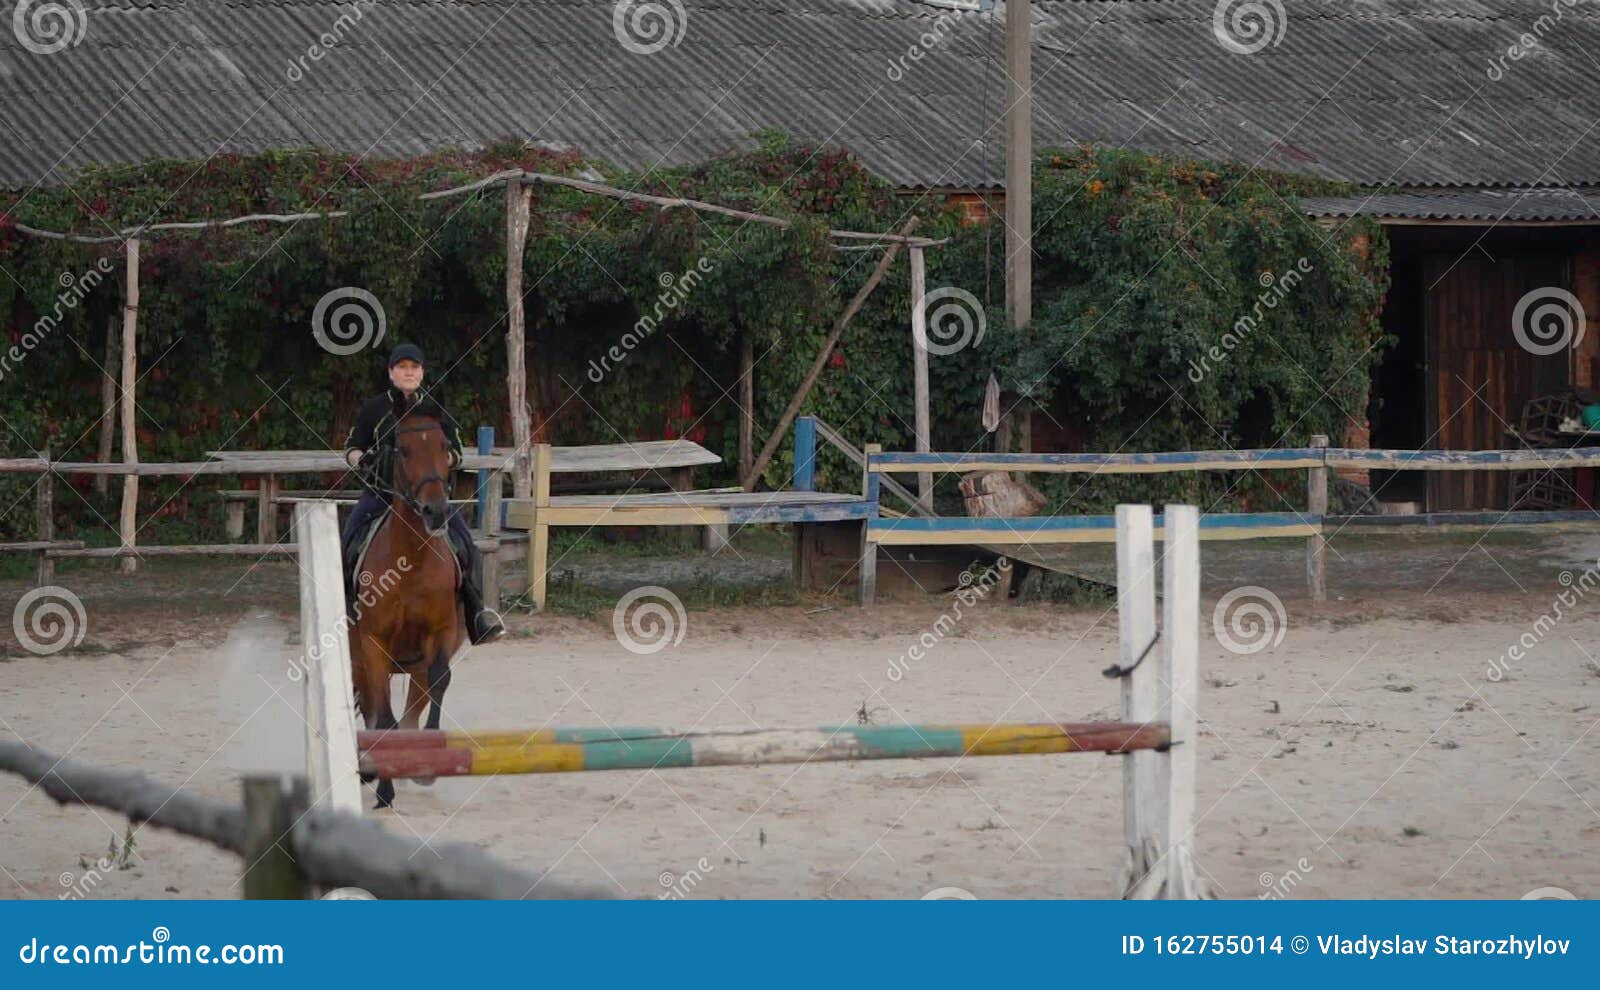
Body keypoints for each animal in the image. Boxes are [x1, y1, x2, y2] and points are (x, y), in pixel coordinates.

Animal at [348, 406, 464, 809]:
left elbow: (440, 680)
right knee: (373, 705)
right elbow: (383, 714)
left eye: (445, 446)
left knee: (417, 696)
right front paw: (385, 789)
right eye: (403, 450)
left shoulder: (442, 632)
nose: (435, 511)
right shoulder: (373, 643)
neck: (411, 561)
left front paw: (428, 763)